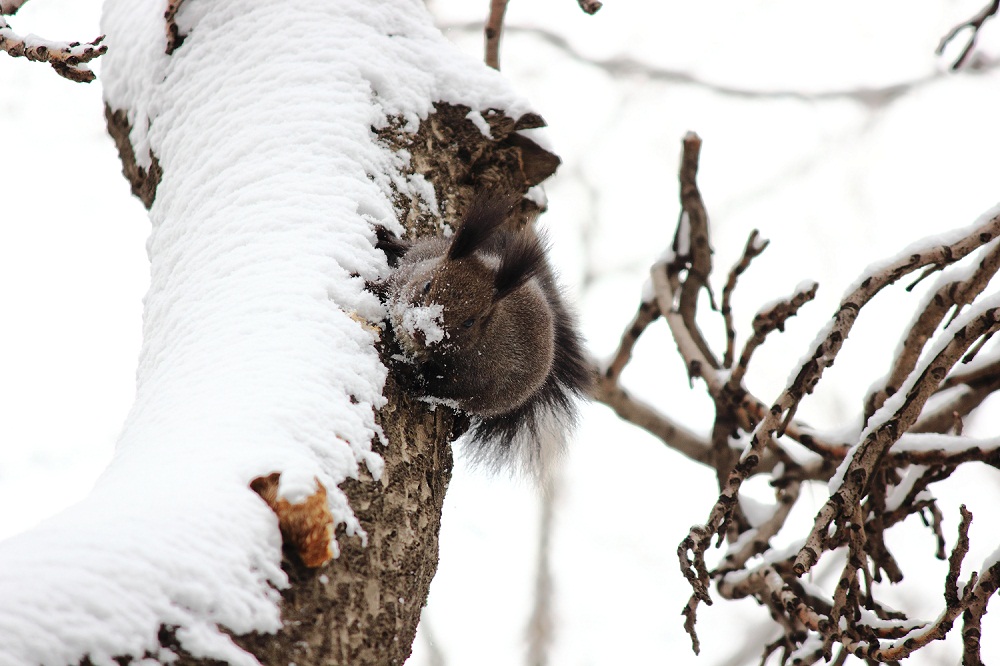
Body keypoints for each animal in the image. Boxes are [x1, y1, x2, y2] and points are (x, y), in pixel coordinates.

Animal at [376, 192, 592, 478]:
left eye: (470, 322)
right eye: (427, 285)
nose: (422, 331)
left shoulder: (477, 378)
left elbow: (435, 386)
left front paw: (407, 373)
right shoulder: (411, 270)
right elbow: (390, 285)